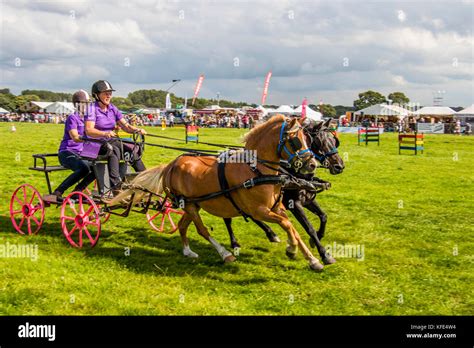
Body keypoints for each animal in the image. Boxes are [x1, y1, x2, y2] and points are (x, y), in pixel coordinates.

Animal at [110, 117, 328, 272]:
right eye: (295, 141)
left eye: (307, 139)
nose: (312, 165)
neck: (255, 170)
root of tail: (170, 165)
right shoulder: (259, 211)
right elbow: (287, 225)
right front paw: (292, 249)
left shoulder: (278, 207)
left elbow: (293, 227)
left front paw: (313, 259)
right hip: (190, 205)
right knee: (202, 230)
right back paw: (225, 254)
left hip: (192, 204)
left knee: (182, 225)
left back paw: (188, 251)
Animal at [222, 118, 344, 266]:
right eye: (320, 141)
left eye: (334, 140)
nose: (339, 166)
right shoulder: (294, 203)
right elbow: (309, 227)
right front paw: (324, 253)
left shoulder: (308, 199)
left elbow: (323, 216)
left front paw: (318, 238)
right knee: (228, 218)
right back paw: (235, 242)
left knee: (251, 215)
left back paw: (271, 234)